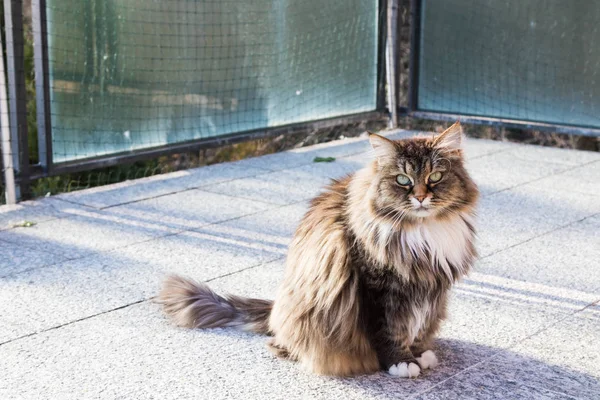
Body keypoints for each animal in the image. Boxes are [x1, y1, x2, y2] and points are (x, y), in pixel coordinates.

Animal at [159, 122, 478, 378]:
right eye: (403, 180)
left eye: (435, 177)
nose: (421, 197)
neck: (423, 231)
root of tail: (276, 307)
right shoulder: (378, 285)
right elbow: (388, 329)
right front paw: (400, 362)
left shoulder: (429, 287)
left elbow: (418, 325)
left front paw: (419, 353)